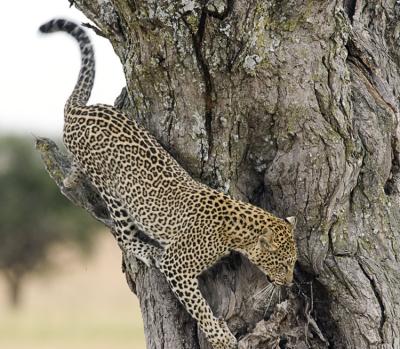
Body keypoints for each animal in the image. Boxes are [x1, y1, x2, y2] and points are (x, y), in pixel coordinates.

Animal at [39, 18, 296, 348]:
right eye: (283, 264)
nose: (288, 282)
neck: (237, 230)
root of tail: (80, 111)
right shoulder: (177, 264)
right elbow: (199, 307)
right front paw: (222, 338)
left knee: (76, 174)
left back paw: (70, 179)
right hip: (112, 191)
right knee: (122, 234)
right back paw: (147, 250)